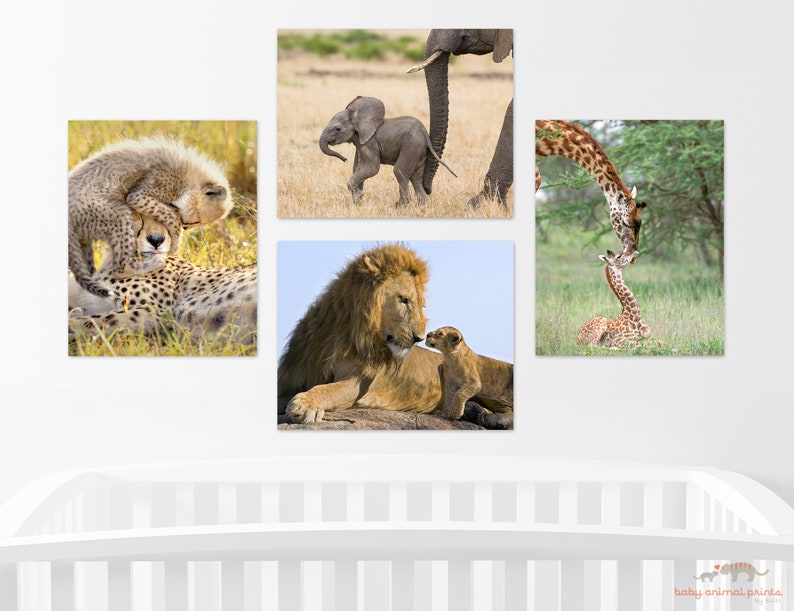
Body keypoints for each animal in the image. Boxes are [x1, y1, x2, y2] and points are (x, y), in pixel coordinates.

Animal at [278, 243, 448, 424]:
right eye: (403, 300)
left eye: (422, 306)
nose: (420, 338)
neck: (345, 331)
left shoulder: (358, 382)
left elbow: (328, 389)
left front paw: (304, 405)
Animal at [319, 95, 456, 206]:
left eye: (338, 129)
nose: (344, 159)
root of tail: (426, 137)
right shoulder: (361, 143)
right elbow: (357, 167)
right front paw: (356, 203)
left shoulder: (370, 143)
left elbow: (371, 168)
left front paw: (359, 196)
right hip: (419, 151)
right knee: (415, 177)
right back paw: (423, 206)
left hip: (412, 146)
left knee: (399, 171)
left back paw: (399, 206)